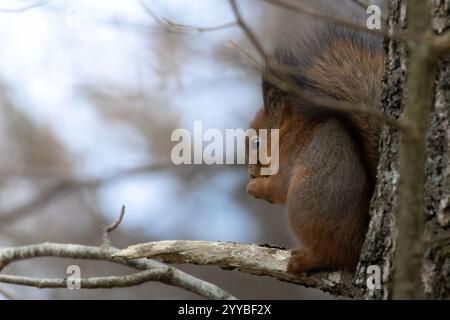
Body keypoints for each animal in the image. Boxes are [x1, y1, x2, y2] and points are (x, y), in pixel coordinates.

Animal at [246, 23, 384, 272]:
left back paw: (305, 260)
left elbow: (278, 188)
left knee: (332, 256)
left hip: (303, 207)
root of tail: (359, 244)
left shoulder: (288, 154)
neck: (287, 131)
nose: (251, 173)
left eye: (257, 142)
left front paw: (254, 187)